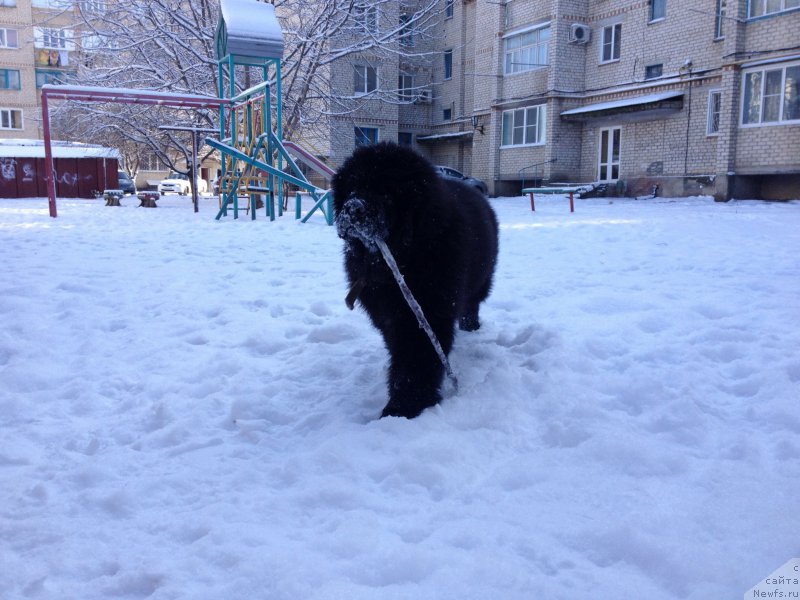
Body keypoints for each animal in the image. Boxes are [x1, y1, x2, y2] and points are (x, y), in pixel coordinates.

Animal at [332, 143, 496, 420]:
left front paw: (403, 407)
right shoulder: (385, 312)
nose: (354, 207)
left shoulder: (427, 312)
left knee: (472, 303)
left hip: (482, 279)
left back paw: (470, 325)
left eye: (387, 193)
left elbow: (416, 356)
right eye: (352, 186)